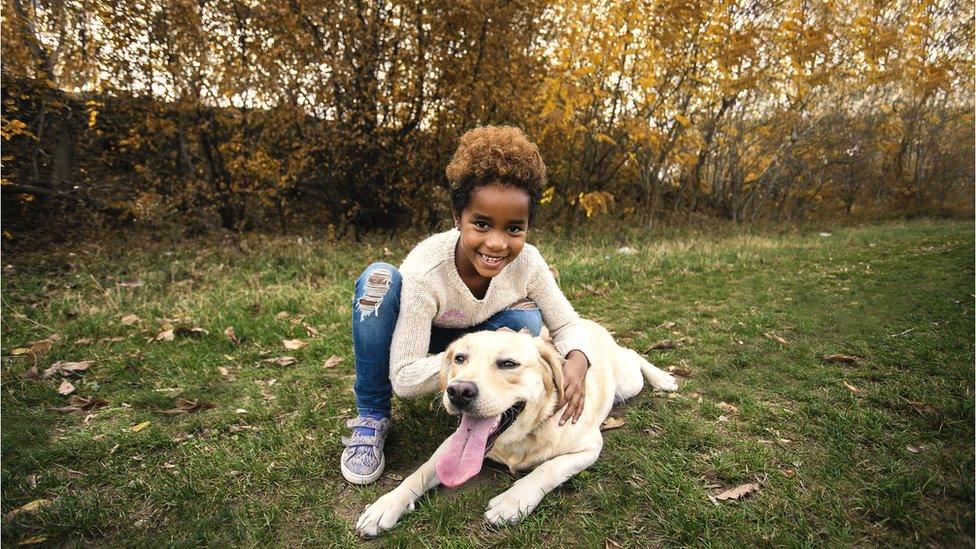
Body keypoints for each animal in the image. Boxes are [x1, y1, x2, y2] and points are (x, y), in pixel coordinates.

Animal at [354, 318, 676, 536]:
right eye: (459, 358)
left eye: (508, 364)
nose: (458, 391)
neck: (517, 439)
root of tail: (586, 320)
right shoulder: (450, 445)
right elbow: (420, 472)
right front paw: (387, 504)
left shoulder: (588, 447)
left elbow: (547, 469)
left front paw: (512, 501)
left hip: (628, 382)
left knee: (633, 353)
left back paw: (663, 379)